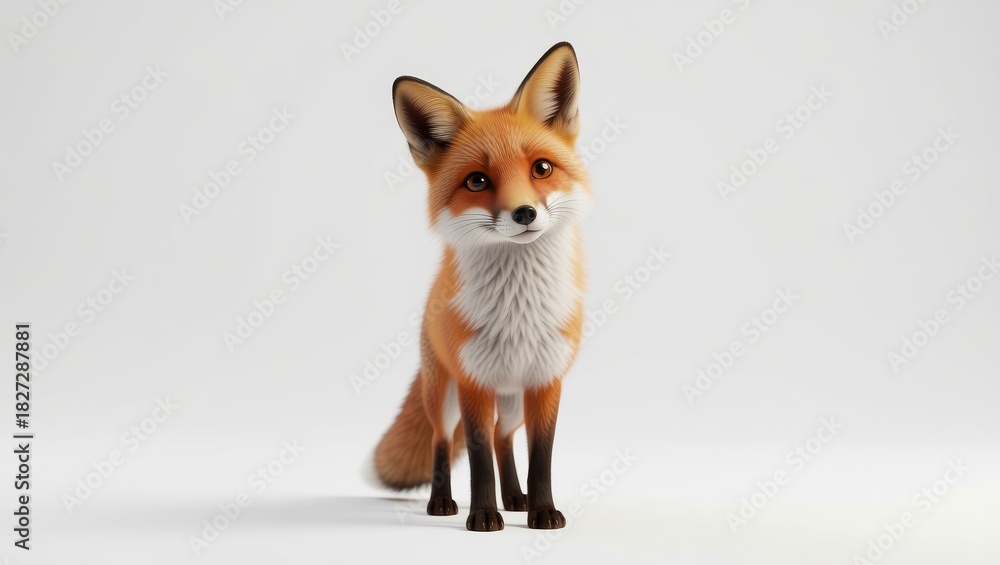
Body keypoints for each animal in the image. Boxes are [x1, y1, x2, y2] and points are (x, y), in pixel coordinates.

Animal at [373, 42, 592, 532]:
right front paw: (484, 515)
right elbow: (475, 457)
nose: (525, 213)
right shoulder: (474, 383)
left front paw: (542, 511)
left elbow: (540, 456)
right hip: (446, 397)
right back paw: (443, 502)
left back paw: (516, 498)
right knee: (442, 440)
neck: (519, 310)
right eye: (477, 180)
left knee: (502, 438)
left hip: (510, 402)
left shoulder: (546, 382)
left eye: (541, 168)